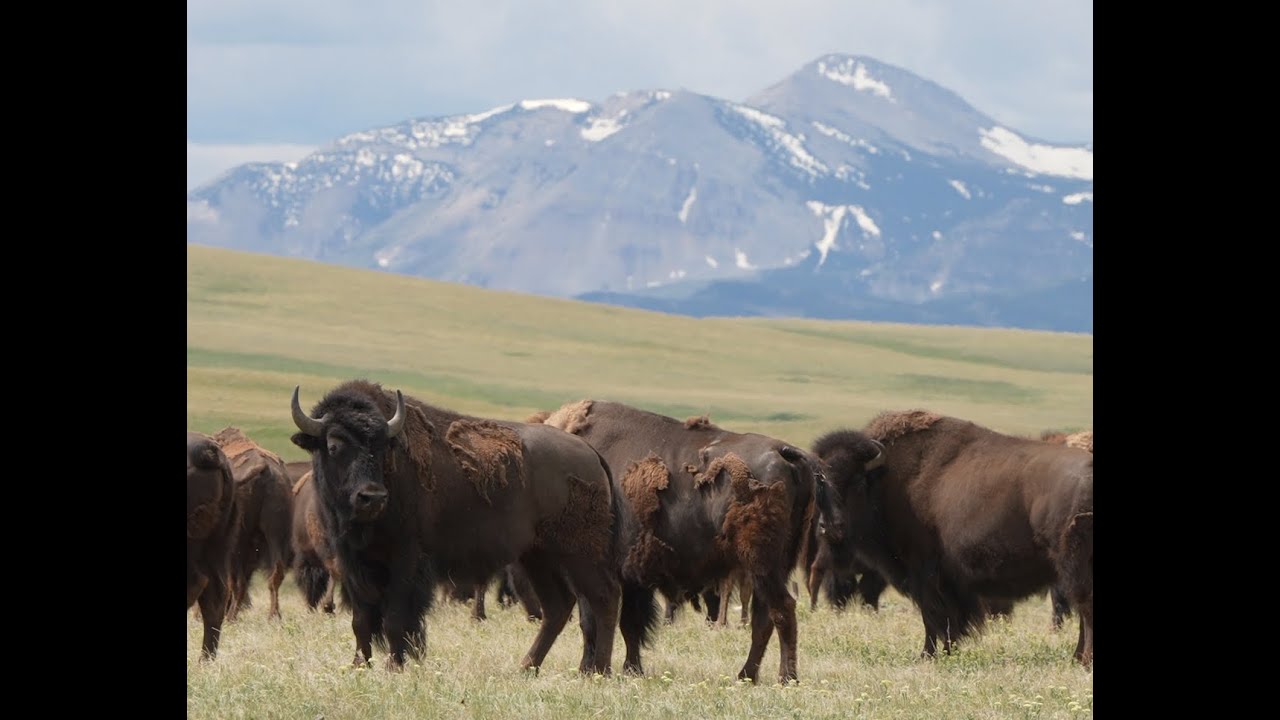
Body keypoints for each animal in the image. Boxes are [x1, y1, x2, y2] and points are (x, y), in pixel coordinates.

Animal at [290, 381, 622, 673]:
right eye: (333, 445)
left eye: (384, 447)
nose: (372, 496)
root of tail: (590, 453)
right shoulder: (353, 562)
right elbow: (361, 619)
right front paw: (359, 665)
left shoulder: (406, 561)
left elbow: (395, 619)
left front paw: (395, 666)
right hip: (537, 556)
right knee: (558, 607)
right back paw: (527, 667)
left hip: (579, 555)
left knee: (604, 598)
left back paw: (597, 672)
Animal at [535, 400, 822, 684]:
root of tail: (783, 452)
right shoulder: (632, 578)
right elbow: (630, 625)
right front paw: (632, 669)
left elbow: (592, 621)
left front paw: (589, 670)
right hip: (771, 568)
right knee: (764, 618)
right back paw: (747, 676)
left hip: (762, 565)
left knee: (782, 611)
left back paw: (786, 678)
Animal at [814, 410, 1093, 667]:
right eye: (821, 483)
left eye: (858, 482)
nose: (831, 526)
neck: (887, 479)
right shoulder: (947, 581)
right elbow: (947, 618)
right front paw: (947, 652)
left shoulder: (924, 574)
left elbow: (933, 616)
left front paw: (927, 655)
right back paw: (1077, 658)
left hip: (1072, 568)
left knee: (1085, 610)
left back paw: (1083, 660)